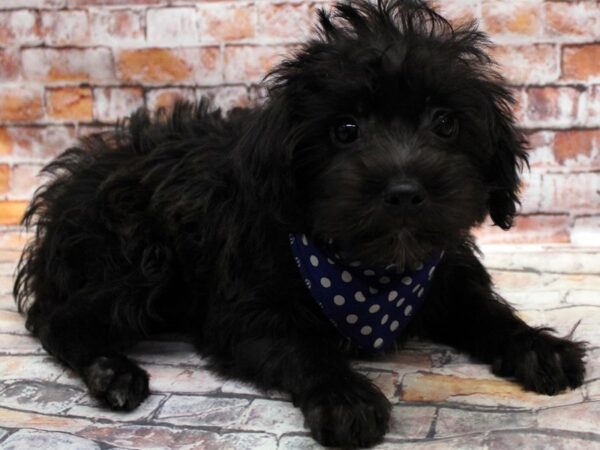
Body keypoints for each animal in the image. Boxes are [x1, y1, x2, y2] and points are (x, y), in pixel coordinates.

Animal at [15, 0, 584, 446]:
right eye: (345, 130)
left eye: (445, 123)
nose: (404, 191)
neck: (370, 270)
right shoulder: (247, 307)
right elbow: (301, 345)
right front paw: (345, 396)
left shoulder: (445, 277)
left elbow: (487, 311)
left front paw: (541, 348)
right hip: (136, 253)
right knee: (55, 319)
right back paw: (111, 372)